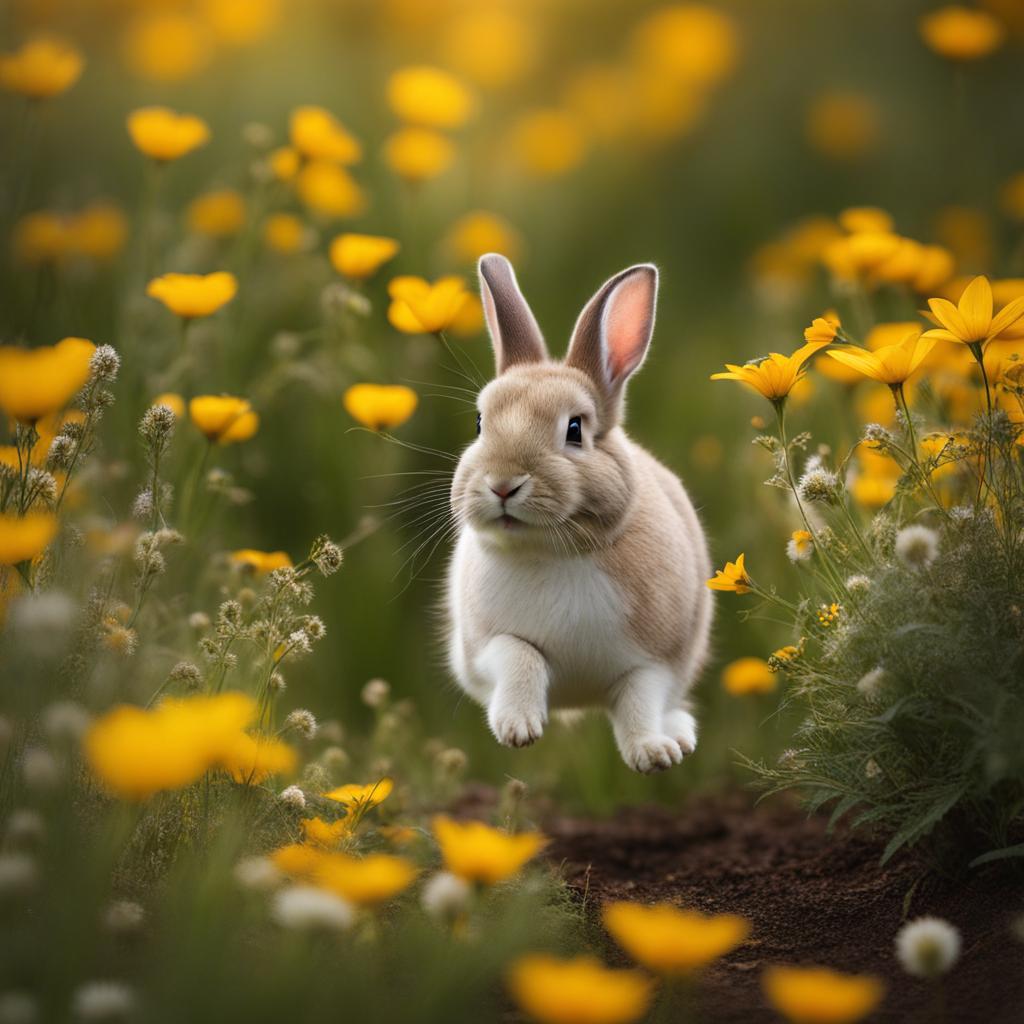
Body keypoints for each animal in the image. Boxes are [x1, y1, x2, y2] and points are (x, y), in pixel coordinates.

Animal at [448, 256, 712, 774]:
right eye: (479, 423)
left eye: (574, 429)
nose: (503, 483)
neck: (554, 551)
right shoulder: (485, 647)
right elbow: (519, 656)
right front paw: (518, 729)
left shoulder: (653, 662)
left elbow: (638, 702)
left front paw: (653, 755)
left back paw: (679, 737)